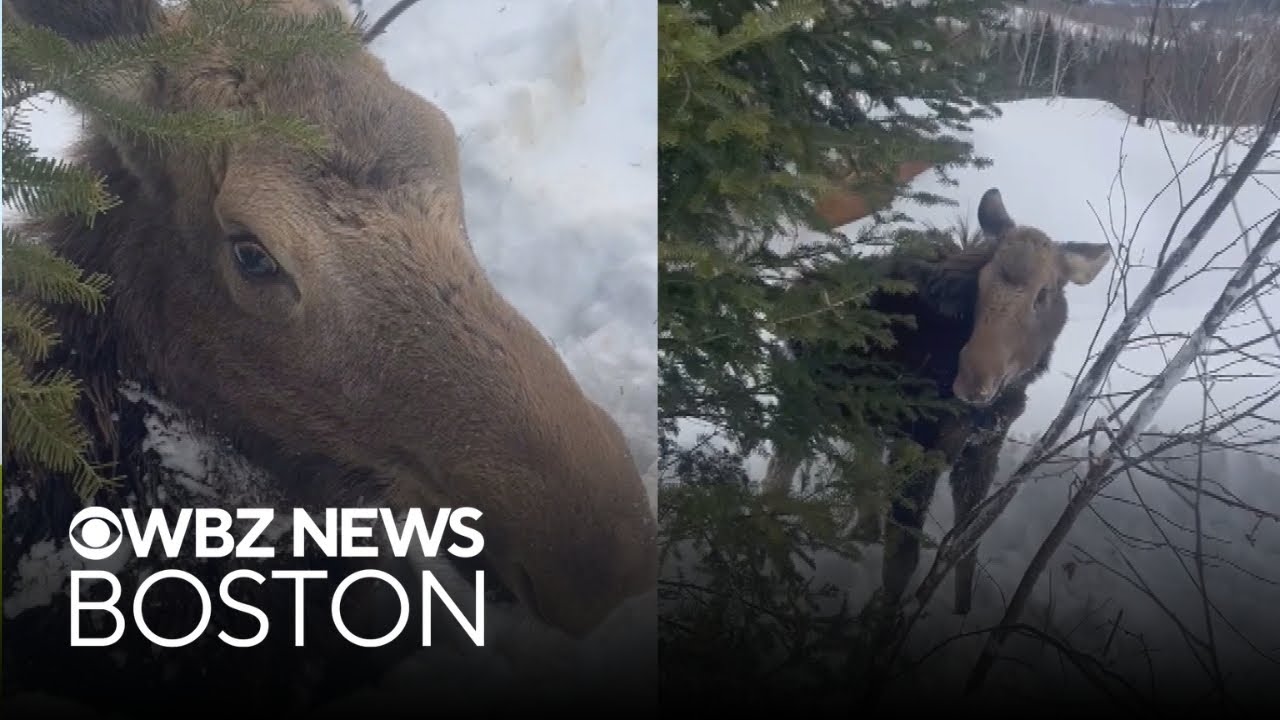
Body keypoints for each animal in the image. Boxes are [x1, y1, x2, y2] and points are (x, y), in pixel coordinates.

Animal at [761, 187, 1112, 617]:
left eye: (1042, 295)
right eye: (982, 283)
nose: (974, 380)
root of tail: (788, 296)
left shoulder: (983, 447)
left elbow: (964, 551)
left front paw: (961, 615)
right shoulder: (920, 446)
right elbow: (901, 562)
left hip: (864, 418)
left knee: (861, 476)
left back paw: (859, 538)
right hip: (802, 404)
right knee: (773, 489)